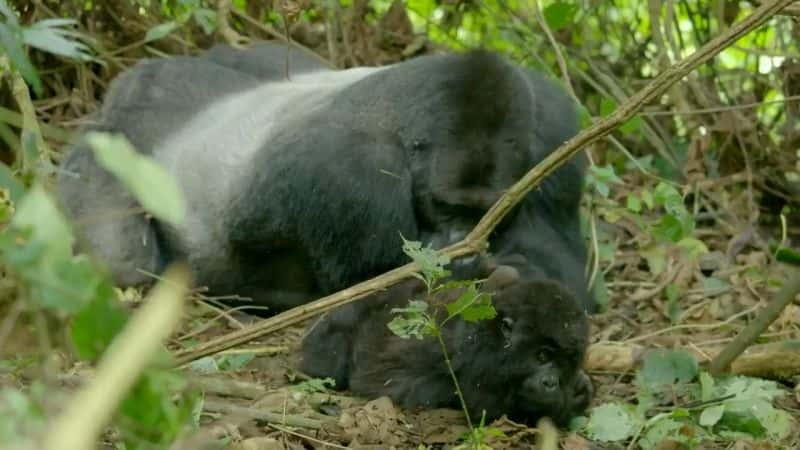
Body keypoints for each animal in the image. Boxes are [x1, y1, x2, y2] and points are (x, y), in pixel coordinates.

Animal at [56, 44, 592, 314]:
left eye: (485, 213)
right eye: (446, 207)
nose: (461, 241)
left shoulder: (556, 129)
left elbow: (566, 270)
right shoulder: (348, 173)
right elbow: (371, 298)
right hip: (113, 131)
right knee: (123, 266)